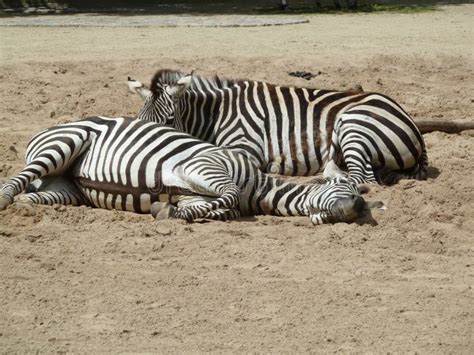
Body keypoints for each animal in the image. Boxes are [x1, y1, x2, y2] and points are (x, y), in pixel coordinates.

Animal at [0, 117, 386, 225]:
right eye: (347, 189)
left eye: (359, 207)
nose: (356, 207)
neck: (259, 189)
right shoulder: (204, 166)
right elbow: (228, 195)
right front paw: (170, 209)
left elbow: (223, 208)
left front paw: (173, 209)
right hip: (68, 142)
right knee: (16, 179)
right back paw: (4, 199)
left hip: (65, 189)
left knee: (33, 195)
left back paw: (24, 207)